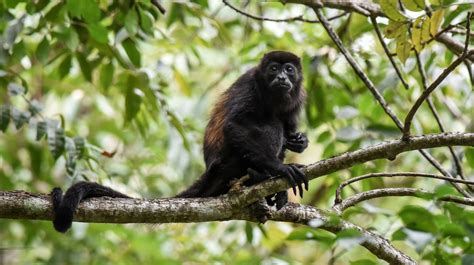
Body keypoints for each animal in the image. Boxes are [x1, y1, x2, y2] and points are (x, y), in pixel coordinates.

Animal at [51, 51, 310, 231]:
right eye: (273, 69)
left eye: (289, 69)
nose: (281, 77)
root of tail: (211, 170)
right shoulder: (250, 84)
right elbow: (235, 125)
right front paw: (280, 168)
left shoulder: (298, 97)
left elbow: (289, 129)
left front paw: (299, 141)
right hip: (228, 163)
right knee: (269, 124)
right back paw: (259, 175)